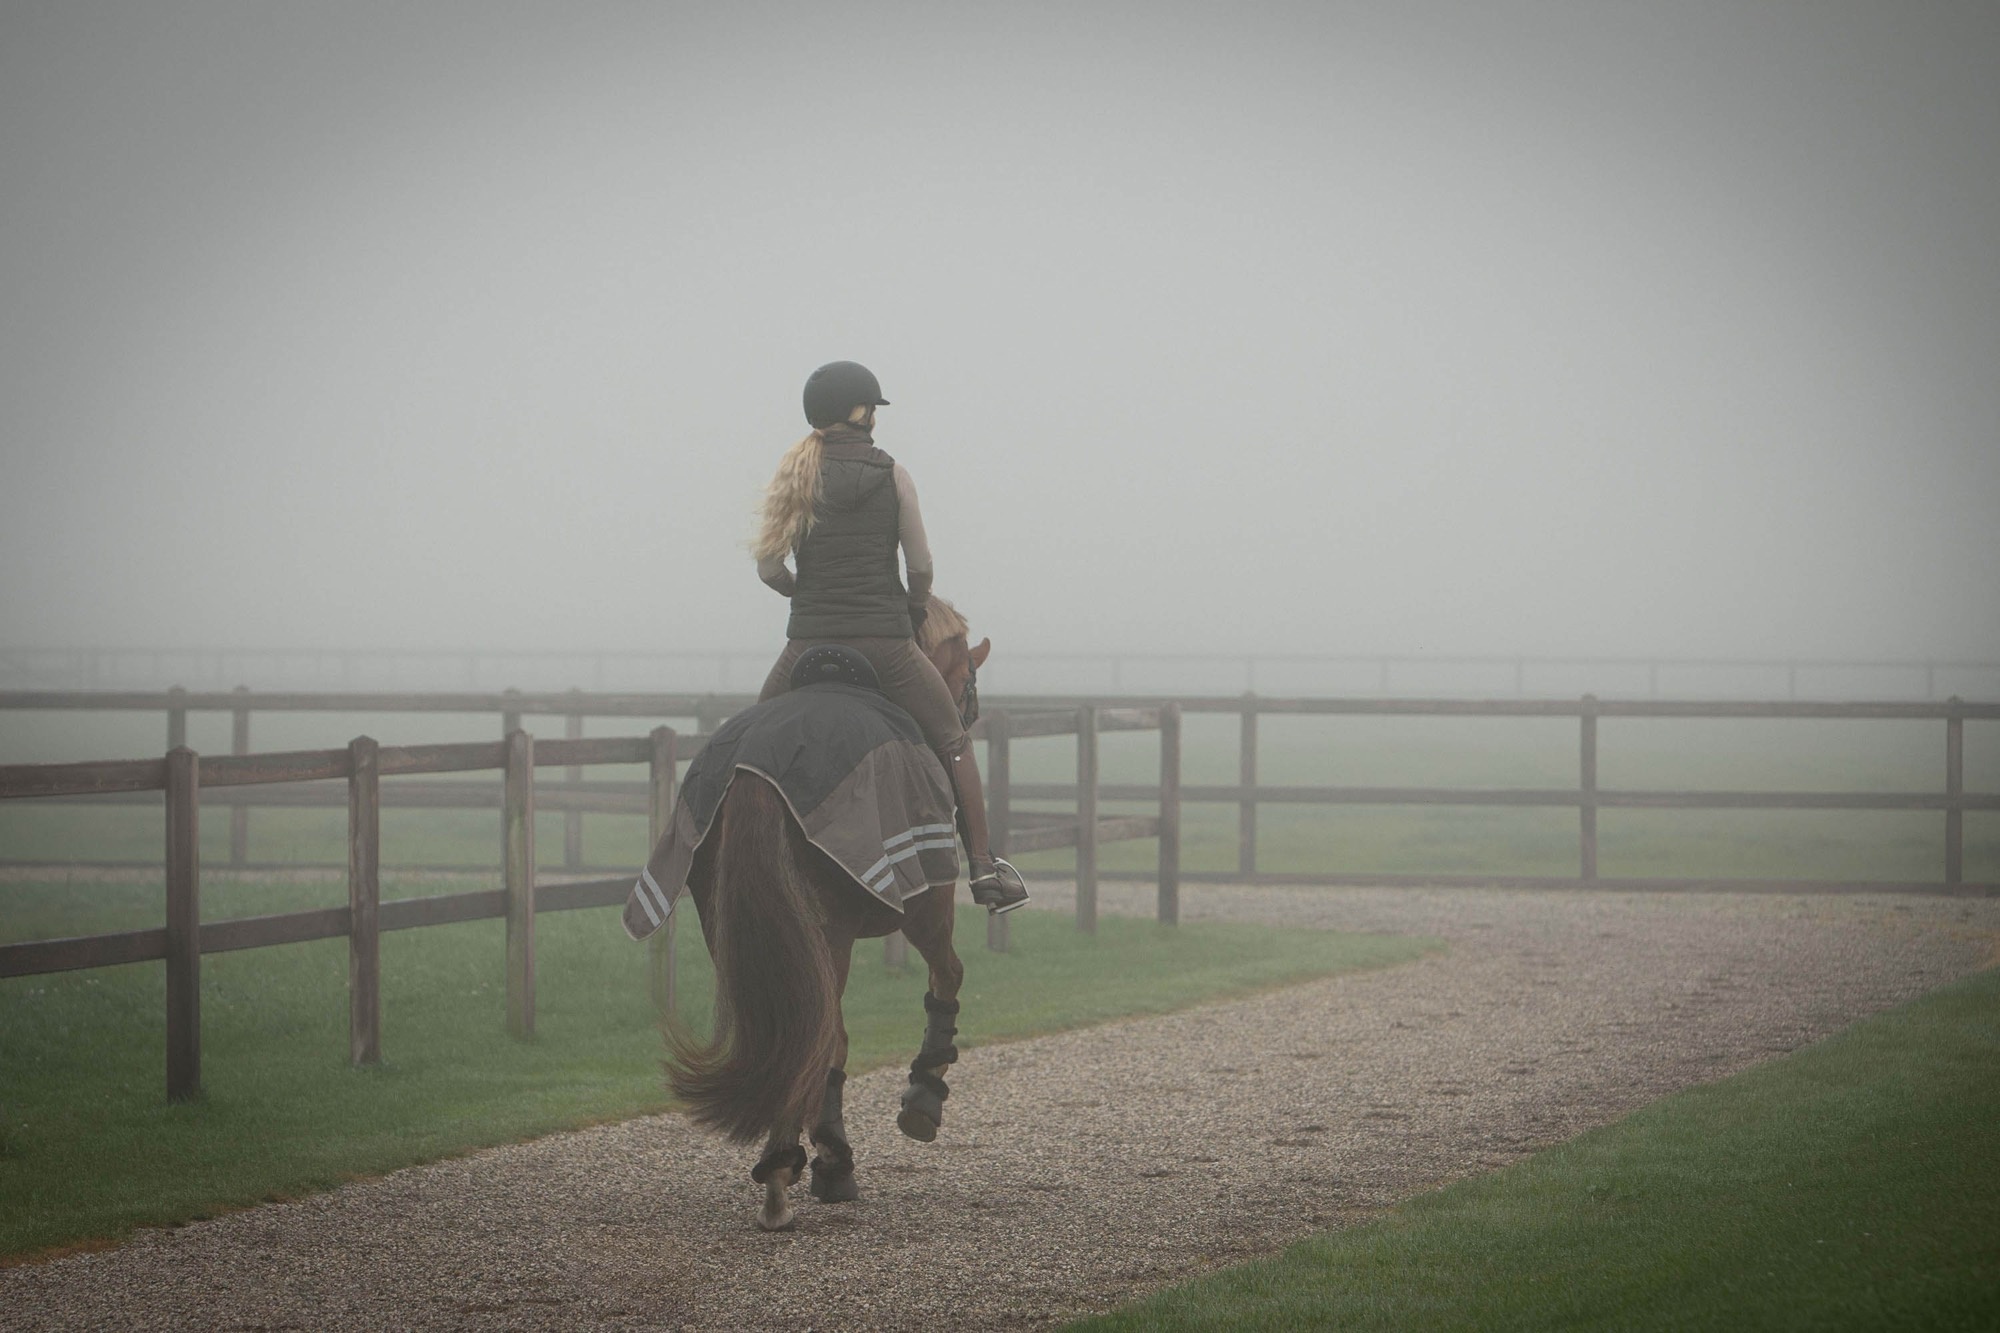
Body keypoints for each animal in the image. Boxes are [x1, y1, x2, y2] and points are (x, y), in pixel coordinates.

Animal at [663, 600, 990, 1231]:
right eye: (965, 680)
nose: (967, 720)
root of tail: (758, 770)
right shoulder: (928, 906)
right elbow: (950, 976)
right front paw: (923, 1095)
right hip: (832, 935)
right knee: (823, 1036)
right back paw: (807, 1169)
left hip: (734, 930)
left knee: (798, 1030)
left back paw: (786, 1165)